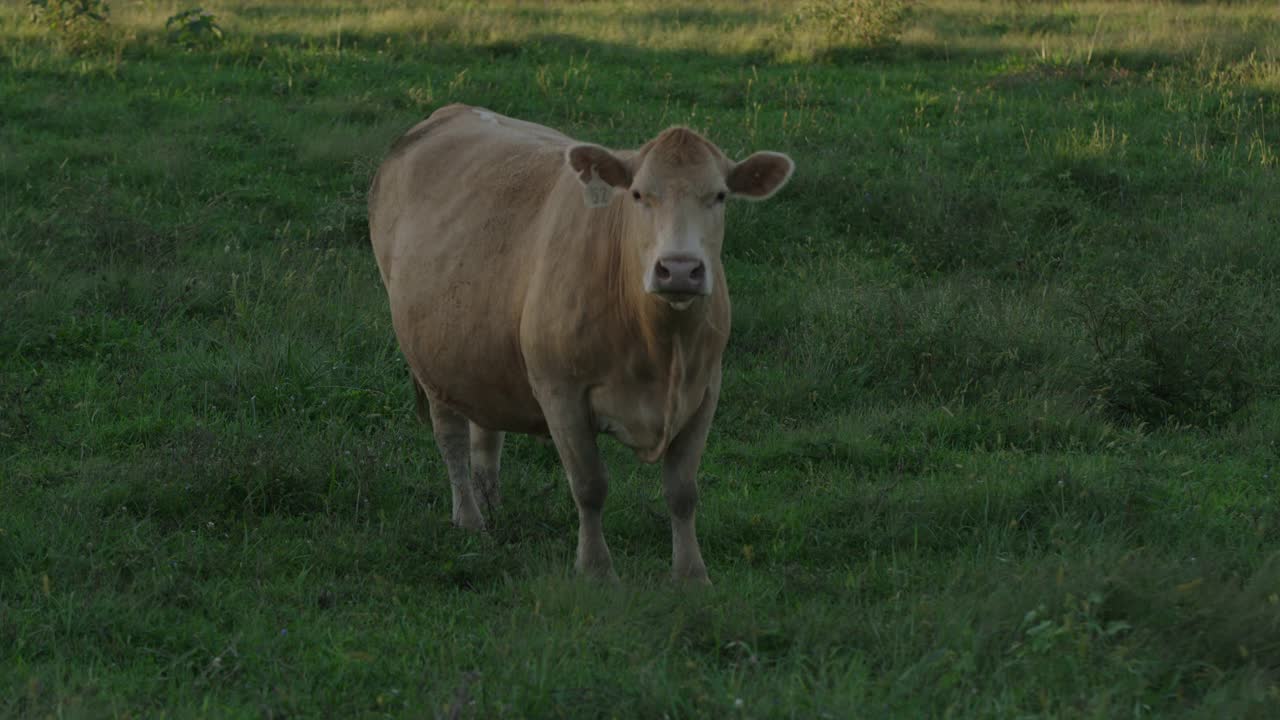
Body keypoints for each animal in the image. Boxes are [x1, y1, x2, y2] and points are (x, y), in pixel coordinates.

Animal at [366, 103, 793, 579]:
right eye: (639, 195)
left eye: (719, 196)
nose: (679, 269)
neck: (659, 348)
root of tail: (449, 112)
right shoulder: (560, 393)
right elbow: (590, 486)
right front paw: (595, 570)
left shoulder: (705, 390)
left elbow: (682, 491)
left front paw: (691, 575)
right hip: (431, 361)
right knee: (451, 437)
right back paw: (470, 518)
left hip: (476, 350)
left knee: (485, 430)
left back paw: (491, 503)